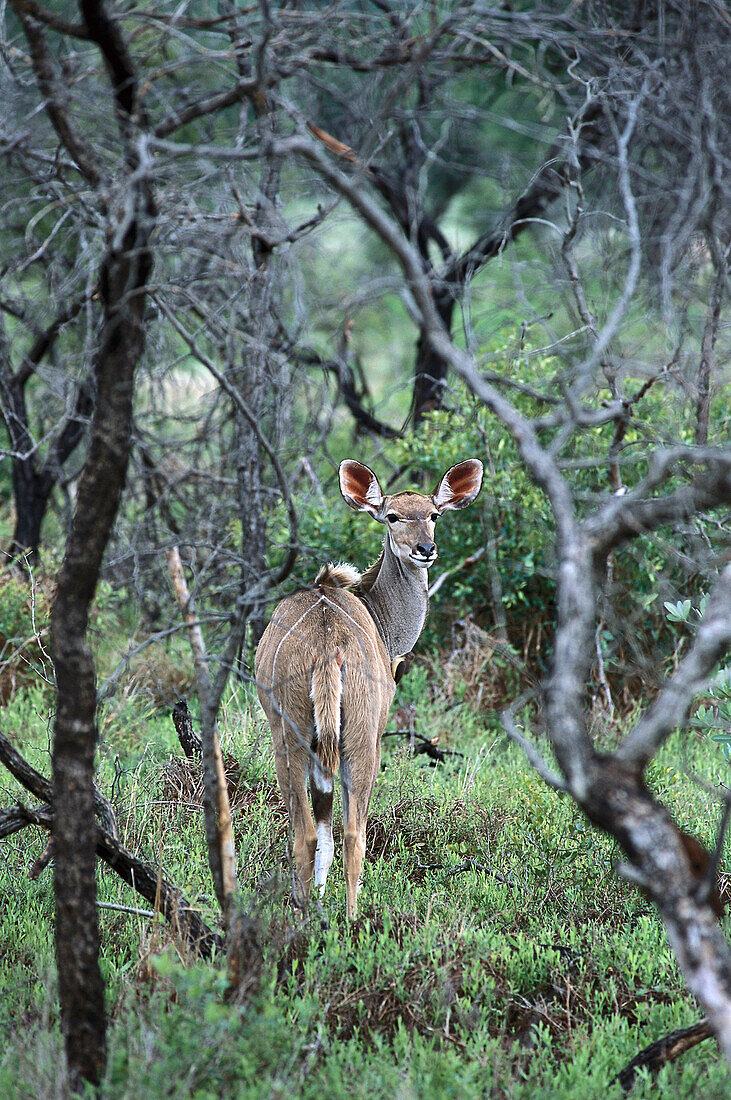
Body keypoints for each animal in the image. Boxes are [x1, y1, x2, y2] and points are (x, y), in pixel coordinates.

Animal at [253, 455, 481, 919]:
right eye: (392, 516)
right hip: (353, 739)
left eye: (434, 515)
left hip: (305, 738)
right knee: (348, 833)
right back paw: (351, 919)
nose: (425, 549)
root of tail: (327, 650)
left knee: (314, 833)